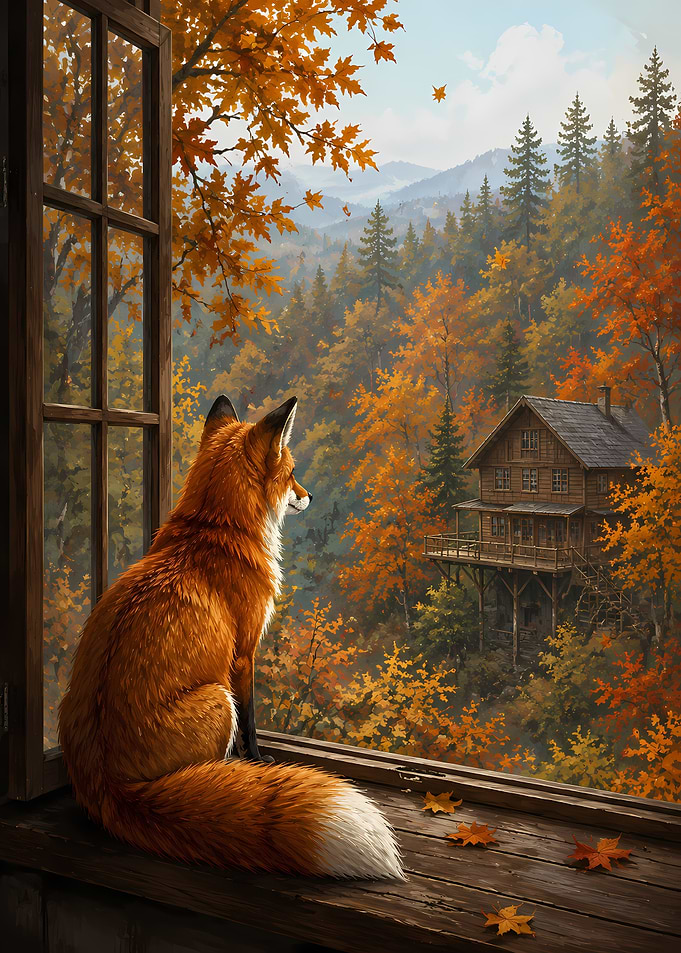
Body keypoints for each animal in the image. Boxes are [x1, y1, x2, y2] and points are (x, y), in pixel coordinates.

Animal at [58, 395, 403, 880]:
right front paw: (258, 762)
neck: (214, 529)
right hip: (219, 700)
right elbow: (253, 721)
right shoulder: (244, 654)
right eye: (291, 471)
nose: (309, 495)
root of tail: (108, 785)